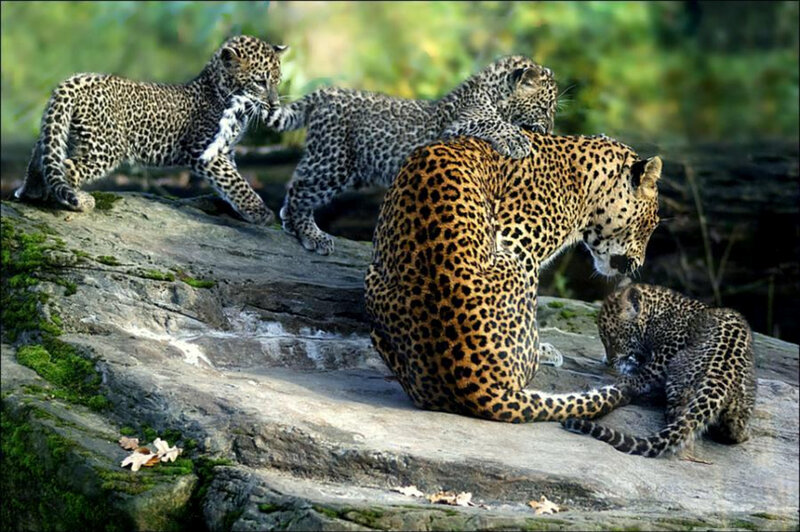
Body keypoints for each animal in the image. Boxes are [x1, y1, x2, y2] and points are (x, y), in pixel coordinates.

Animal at [14, 35, 287, 225]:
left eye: (278, 81)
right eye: (260, 82)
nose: (275, 104)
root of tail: (75, 80)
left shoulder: (226, 151)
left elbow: (232, 180)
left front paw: (234, 207)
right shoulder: (206, 152)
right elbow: (236, 182)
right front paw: (261, 212)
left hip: (68, 132)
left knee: (42, 156)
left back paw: (30, 193)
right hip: (105, 146)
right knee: (68, 167)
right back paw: (77, 201)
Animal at [264, 55, 558, 255]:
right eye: (545, 109)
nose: (549, 129)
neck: (490, 92)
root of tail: (326, 92)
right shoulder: (456, 126)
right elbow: (491, 122)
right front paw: (518, 140)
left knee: (297, 181)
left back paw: (290, 222)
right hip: (334, 160)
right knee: (301, 189)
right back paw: (312, 235)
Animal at [364, 130, 663, 423]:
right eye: (650, 224)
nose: (639, 263)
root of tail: (476, 387)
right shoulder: (519, 245)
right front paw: (544, 349)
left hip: (373, 280)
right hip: (513, 260)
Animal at [562, 283, 757, 457]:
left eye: (613, 339)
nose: (610, 361)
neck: (656, 312)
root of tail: (721, 374)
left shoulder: (671, 346)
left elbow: (648, 370)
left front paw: (628, 375)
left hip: (679, 372)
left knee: (680, 417)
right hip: (741, 401)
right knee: (734, 429)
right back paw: (742, 434)